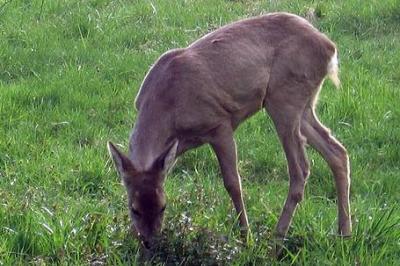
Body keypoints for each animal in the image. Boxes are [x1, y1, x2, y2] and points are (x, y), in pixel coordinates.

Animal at [108, 12, 352, 251]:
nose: (150, 243)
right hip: (303, 105)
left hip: (285, 97)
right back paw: (344, 233)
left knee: (300, 169)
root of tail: (329, 47)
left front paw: (246, 239)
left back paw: (277, 241)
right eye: (134, 208)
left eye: (163, 207)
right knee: (337, 152)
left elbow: (233, 184)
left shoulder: (220, 124)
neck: (166, 106)